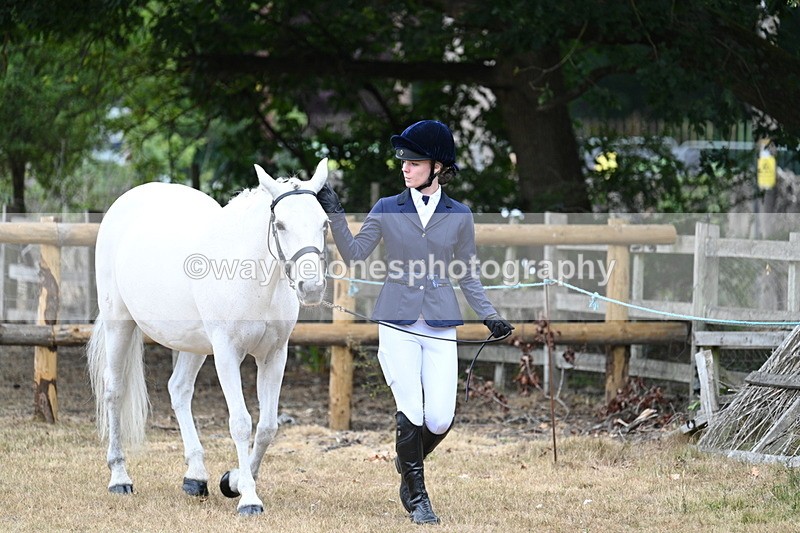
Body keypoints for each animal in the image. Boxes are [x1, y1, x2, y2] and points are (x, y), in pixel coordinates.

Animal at [87, 158, 330, 515]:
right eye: (281, 225)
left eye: (324, 224)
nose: (311, 288)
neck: (251, 276)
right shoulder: (227, 353)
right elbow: (241, 423)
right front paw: (249, 499)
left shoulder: (274, 355)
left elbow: (268, 426)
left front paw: (234, 481)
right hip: (120, 324)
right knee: (114, 391)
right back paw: (119, 478)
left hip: (193, 343)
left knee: (179, 389)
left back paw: (195, 477)